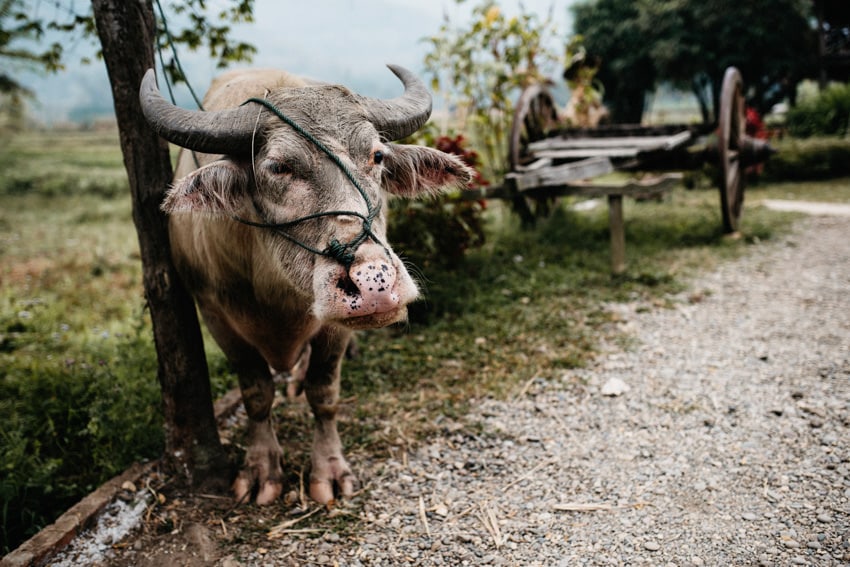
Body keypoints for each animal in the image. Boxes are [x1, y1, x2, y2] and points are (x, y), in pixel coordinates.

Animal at [139, 64, 470, 504]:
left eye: (376, 156)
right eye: (279, 167)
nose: (374, 282)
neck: (273, 288)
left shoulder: (335, 328)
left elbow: (323, 392)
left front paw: (328, 469)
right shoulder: (214, 314)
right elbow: (256, 393)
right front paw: (261, 470)